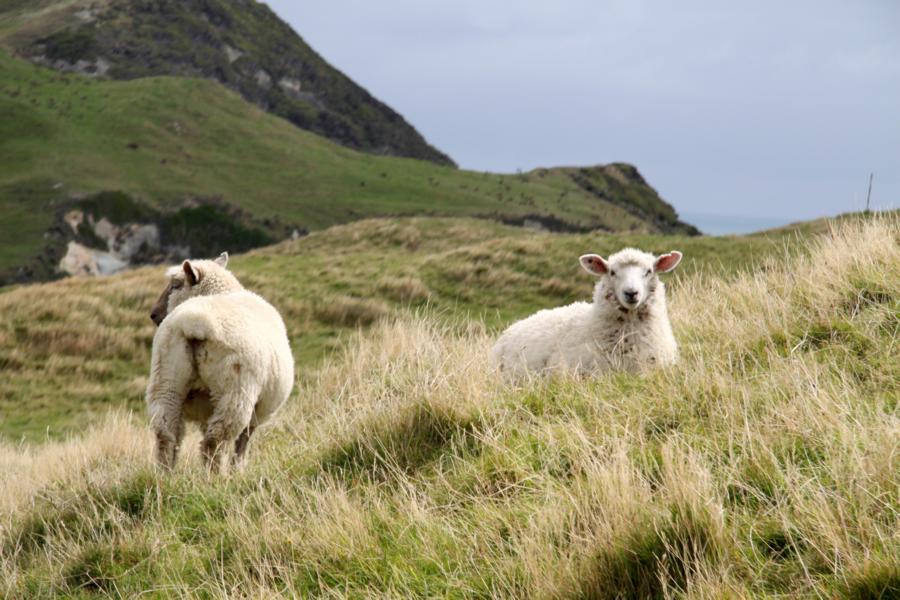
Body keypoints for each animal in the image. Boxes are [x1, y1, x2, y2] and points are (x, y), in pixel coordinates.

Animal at [144, 251, 292, 472]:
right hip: (235, 390)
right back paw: (215, 476)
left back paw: (165, 474)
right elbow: (242, 443)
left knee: (166, 432)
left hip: (166, 379)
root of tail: (194, 322)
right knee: (215, 439)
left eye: (175, 285)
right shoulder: (258, 411)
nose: (154, 314)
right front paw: (238, 470)